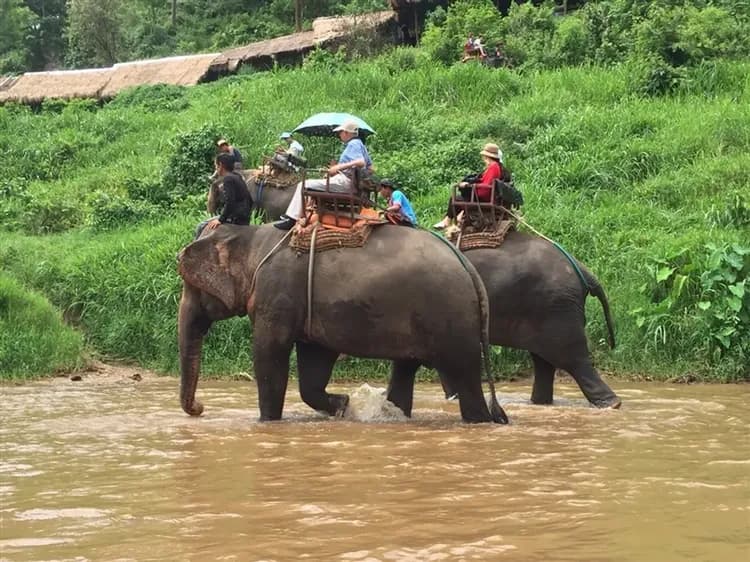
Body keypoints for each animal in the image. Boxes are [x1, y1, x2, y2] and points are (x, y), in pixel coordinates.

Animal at [178, 221, 512, 422]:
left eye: (190, 286)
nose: (200, 407)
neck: (253, 239)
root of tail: (469, 270)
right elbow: (314, 361)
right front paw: (343, 405)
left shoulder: (277, 294)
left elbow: (269, 353)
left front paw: (267, 422)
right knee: (406, 368)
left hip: (450, 317)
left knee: (464, 376)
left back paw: (478, 420)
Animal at [434, 231, 624, 406]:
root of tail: (579, 266)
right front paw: (454, 397)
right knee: (544, 360)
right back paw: (540, 403)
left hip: (555, 307)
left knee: (570, 356)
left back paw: (611, 404)